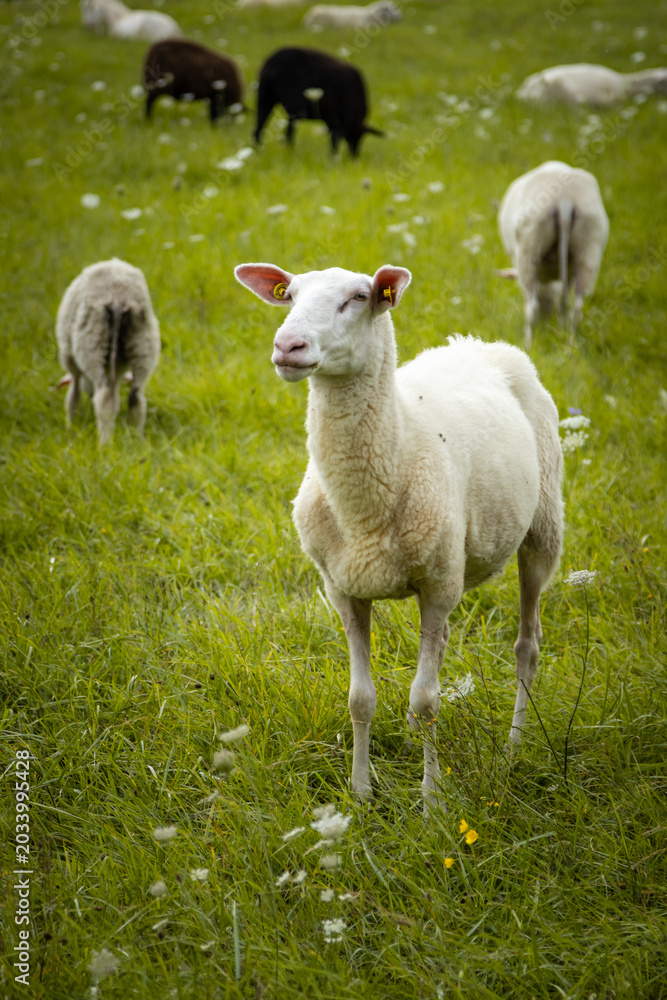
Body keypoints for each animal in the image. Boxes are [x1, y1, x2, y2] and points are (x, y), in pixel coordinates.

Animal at [55, 258, 160, 445]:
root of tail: (119, 297)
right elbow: (116, 400)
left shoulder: (71, 362)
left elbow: (72, 398)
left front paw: (70, 431)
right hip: (144, 344)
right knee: (136, 397)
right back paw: (138, 440)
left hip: (91, 344)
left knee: (103, 396)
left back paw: (104, 444)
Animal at [234, 261, 563, 809]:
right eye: (290, 295)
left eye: (359, 297)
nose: (288, 346)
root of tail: (478, 343)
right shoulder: (343, 588)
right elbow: (360, 699)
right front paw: (360, 794)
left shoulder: (438, 587)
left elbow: (427, 699)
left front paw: (431, 801)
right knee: (446, 644)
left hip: (541, 529)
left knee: (527, 646)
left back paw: (515, 746)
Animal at [497, 160, 609, 348]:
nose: (546, 320)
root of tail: (564, 199)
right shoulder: (569, 272)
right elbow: (563, 302)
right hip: (588, 247)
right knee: (575, 307)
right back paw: (569, 344)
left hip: (530, 247)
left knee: (532, 307)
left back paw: (529, 344)